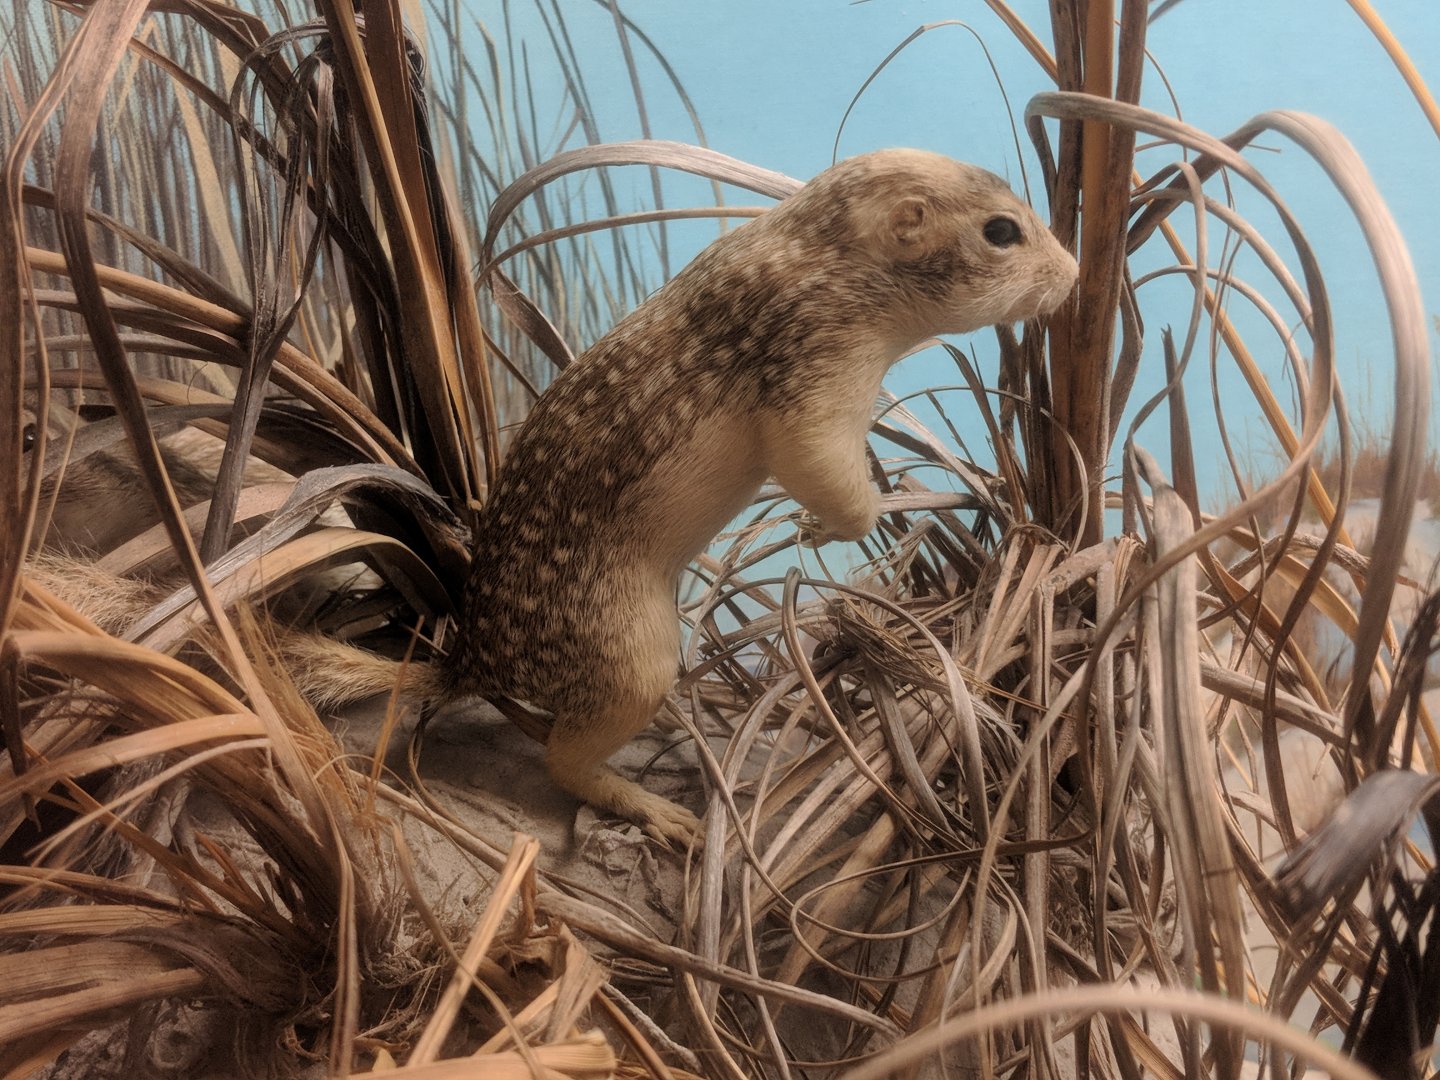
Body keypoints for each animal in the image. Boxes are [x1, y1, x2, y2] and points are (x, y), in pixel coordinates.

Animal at [28, 150, 1079, 845]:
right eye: (1003, 230)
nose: (1072, 278)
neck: (822, 253)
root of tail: (473, 659)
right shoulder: (813, 379)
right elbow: (827, 475)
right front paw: (872, 520)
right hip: (636, 657)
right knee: (565, 764)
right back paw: (658, 811)